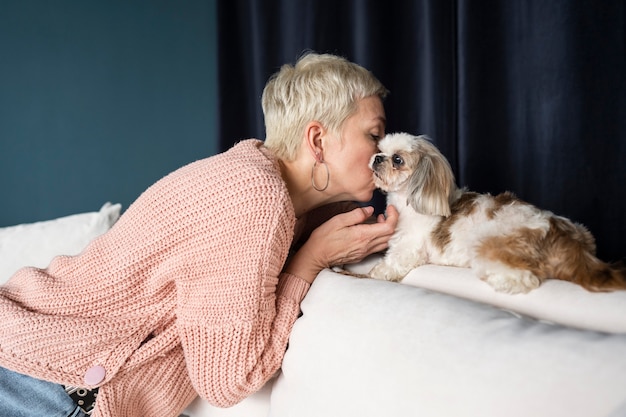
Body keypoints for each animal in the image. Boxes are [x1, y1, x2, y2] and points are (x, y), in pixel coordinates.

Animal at [366, 132, 624, 292]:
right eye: (379, 150)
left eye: (397, 159)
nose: (377, 158)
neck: (407, 200)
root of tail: (559, 232)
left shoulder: (409, 247)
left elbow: (393, 262)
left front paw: (378, 271)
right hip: (583, 231)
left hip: (488, 243)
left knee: (524, 279)